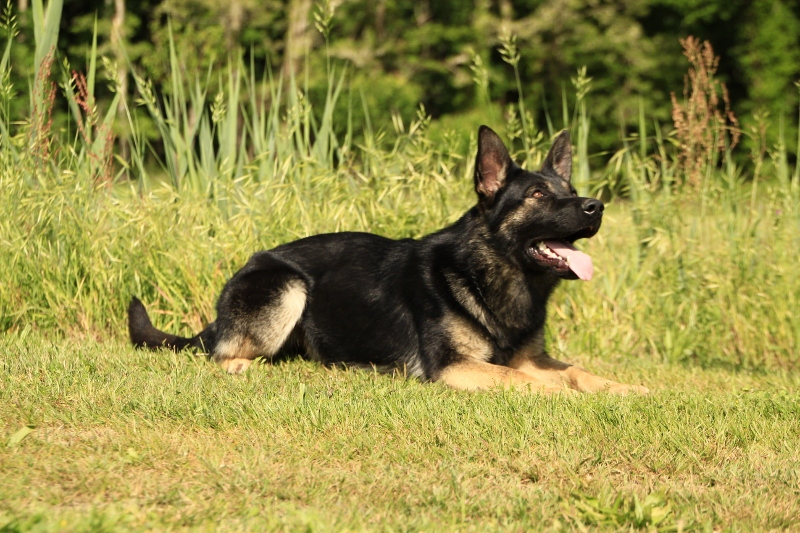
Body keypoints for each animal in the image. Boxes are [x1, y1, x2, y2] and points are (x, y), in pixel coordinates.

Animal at [128, 123, 648, 390]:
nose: (596, 206)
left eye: (572, 193)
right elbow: (538, 383)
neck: (487, 274)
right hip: (288, 288)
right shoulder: (456, 368)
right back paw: (239, 365)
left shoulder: (530, 359)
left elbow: (578, 371)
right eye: (538, 195)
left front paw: (630, 390)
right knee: (219, 354)